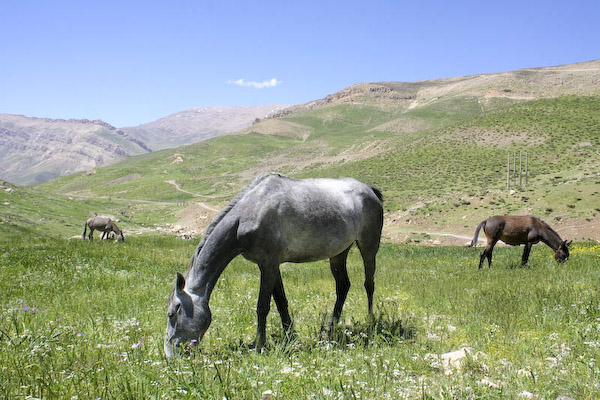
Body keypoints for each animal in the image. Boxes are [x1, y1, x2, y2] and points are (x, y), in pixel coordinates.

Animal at [163, 173, 384, 356]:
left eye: (172, 313)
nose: (169, 354)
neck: (251, 212)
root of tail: (369, 190)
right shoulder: (272, 266)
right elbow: (281, 303)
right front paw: (290, 337)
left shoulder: (268, 265)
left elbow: (263, 306)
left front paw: (260, 345)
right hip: (339, 253)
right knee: (343, 286)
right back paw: (329, 330)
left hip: (368, 246)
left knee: (369, 284)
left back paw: (370, 323)